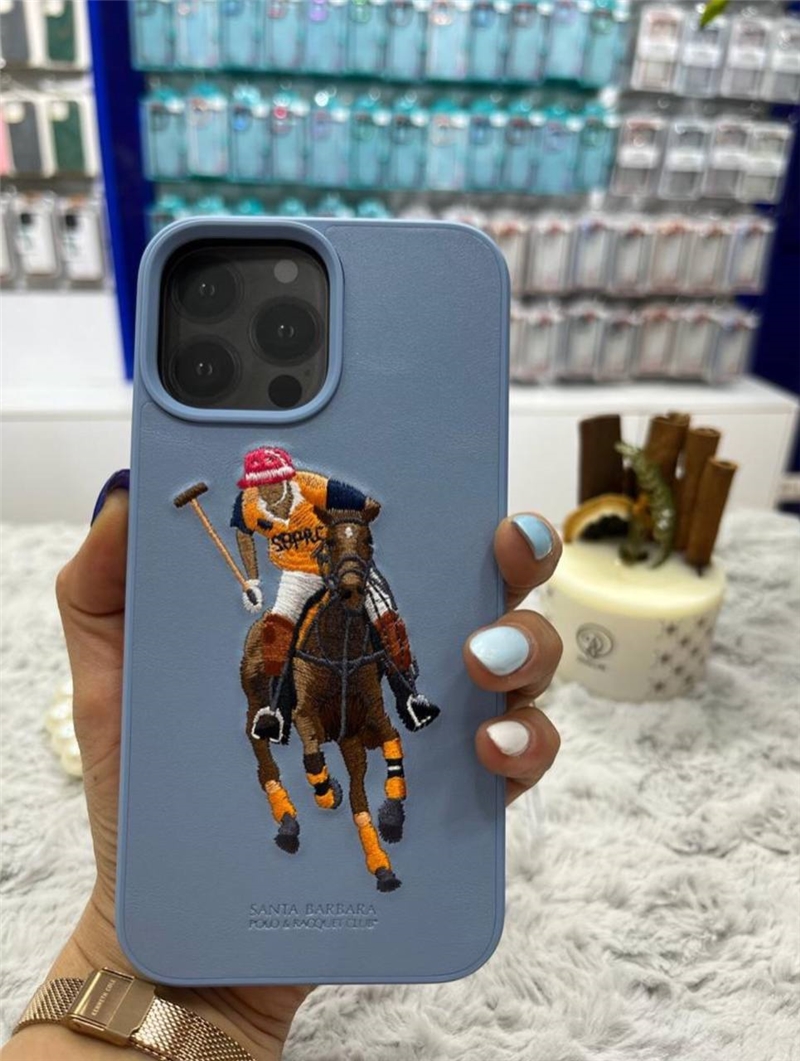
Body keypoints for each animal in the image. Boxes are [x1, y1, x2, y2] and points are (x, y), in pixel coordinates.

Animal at [240, 500, 416, 893]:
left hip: (349, 741)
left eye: (368, 540)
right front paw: (327, 791)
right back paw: (288, 822)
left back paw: (382, 867)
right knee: (261, 751)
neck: (340, 647)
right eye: (331, 541)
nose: (351, 590)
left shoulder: (370, 718)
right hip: (257, 704)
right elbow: (311, 758)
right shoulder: (306, 715)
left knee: (358, 800)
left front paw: (392, 814)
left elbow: (394, 742)